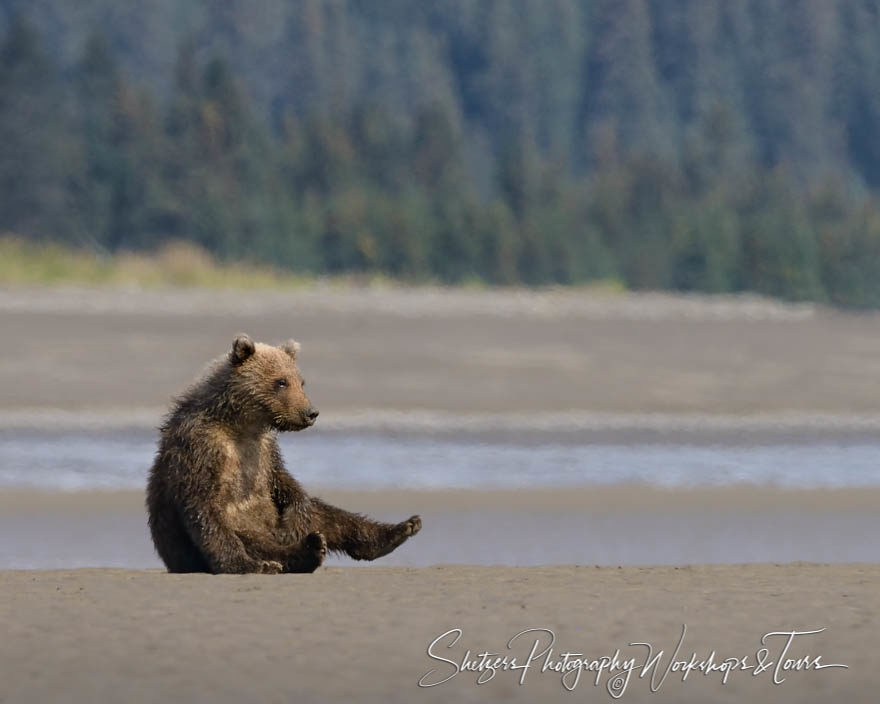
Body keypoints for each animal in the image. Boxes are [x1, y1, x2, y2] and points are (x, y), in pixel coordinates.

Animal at [146, 334, 422, 572]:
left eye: (301, 382)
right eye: (281, 382)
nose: (310, 412)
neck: (240, 424)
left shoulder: (265, 448)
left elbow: (283, 482)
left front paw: (293, 523)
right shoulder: (202, 446)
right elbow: (204, 507)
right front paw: (245, 565)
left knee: (329, 515)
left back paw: (399, 530)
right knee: (259, 543)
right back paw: (302, 552)